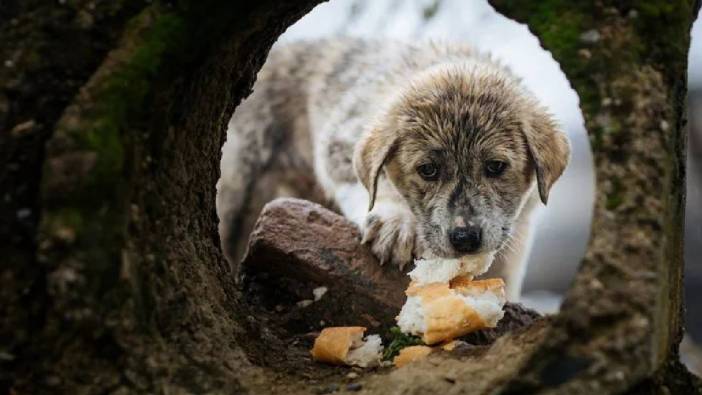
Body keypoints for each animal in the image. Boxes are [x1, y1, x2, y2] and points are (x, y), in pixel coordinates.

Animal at [219, 38, 572, 302]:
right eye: (427, 170)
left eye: (496, 167)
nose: (465, 238)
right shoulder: (339, 141)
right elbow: (373, 184)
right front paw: (396, 222)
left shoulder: (519, 230)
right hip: (236, 188)